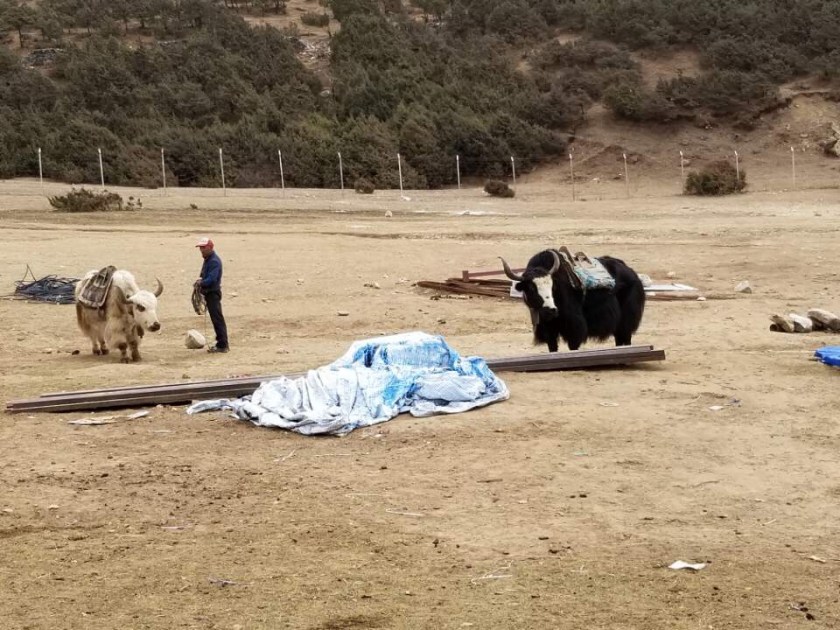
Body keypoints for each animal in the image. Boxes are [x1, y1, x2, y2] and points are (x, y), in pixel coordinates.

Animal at [500, 249, 645, 352]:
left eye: (552, 286)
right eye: (531, 288)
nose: (551, 311)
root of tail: (632, 273)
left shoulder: (574, 327)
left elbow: (573, 345)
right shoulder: (548, 329)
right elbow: (552, 348)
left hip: (626, 321)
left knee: (626, 337)